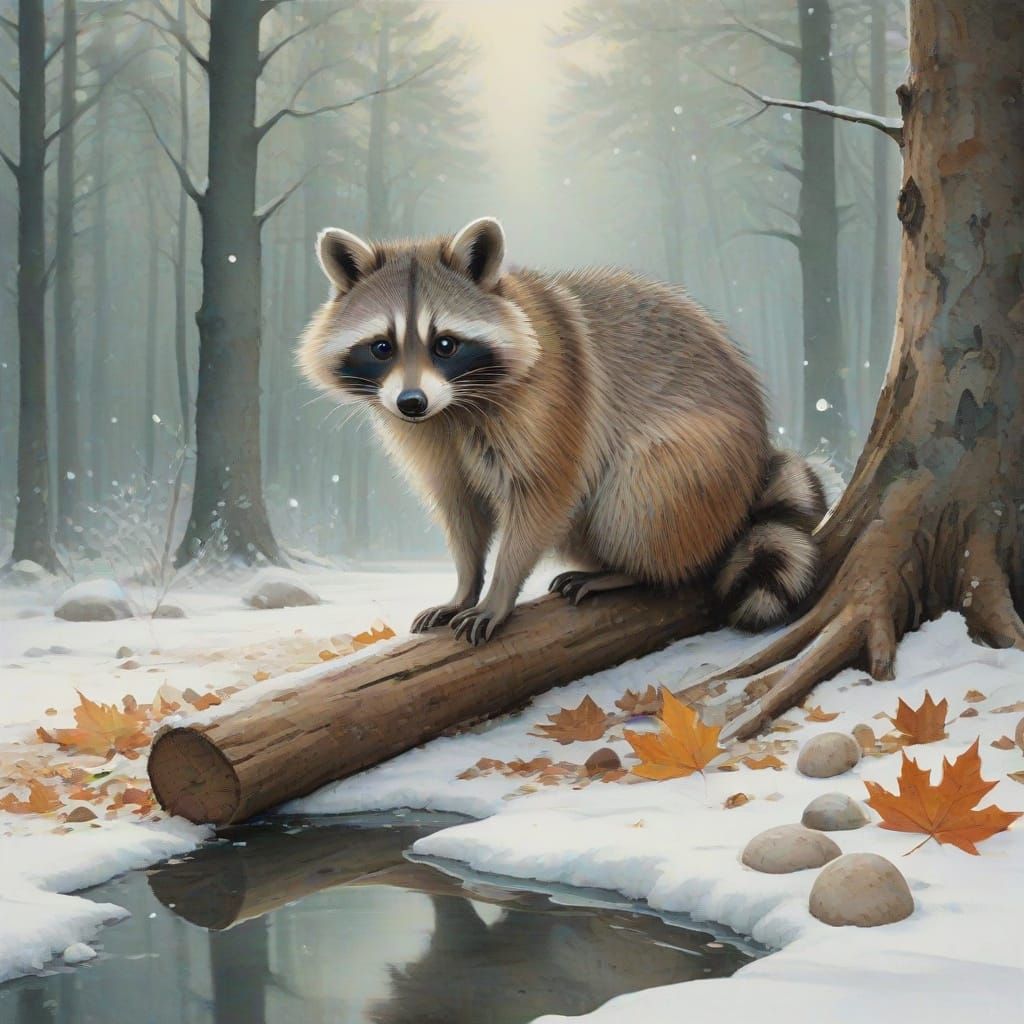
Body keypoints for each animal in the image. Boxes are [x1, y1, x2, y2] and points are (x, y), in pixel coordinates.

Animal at [299, 217, 828, 644]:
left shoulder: (553, 400)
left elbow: (544, 495)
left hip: (698, 466)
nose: (411, 403)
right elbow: (460, 508)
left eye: (445, 344)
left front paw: (499, 592)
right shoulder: (430, 440)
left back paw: (631, 571)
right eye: (381, 347)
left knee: (640, 499)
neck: (452, 408)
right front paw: (465, 586)